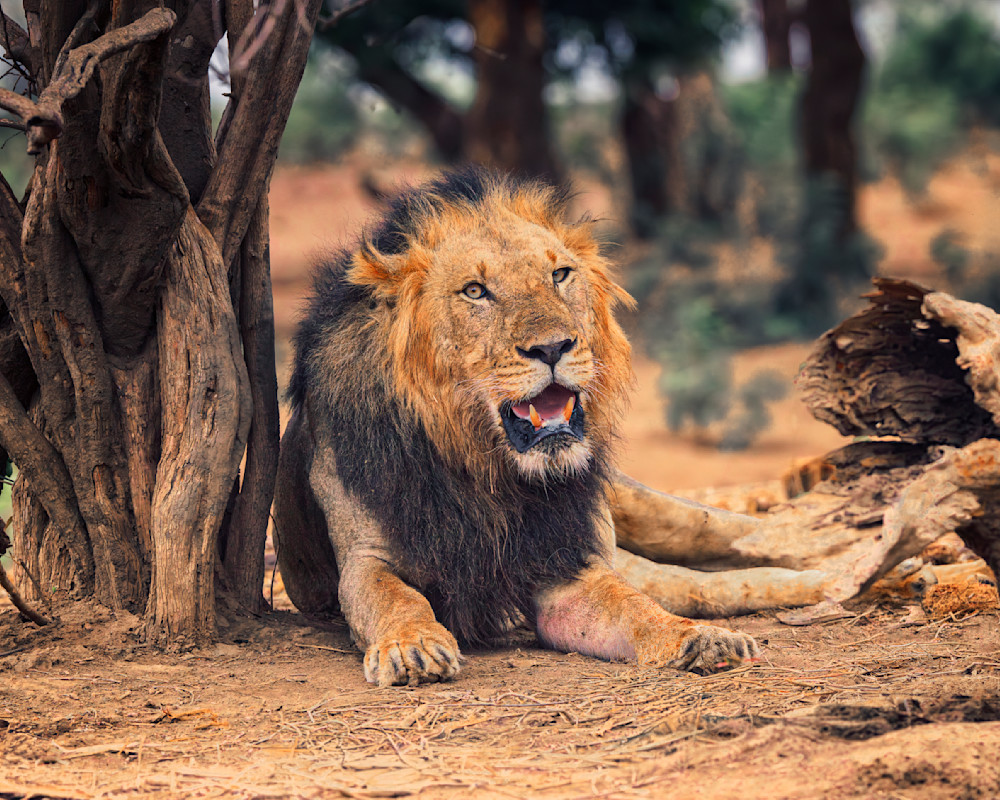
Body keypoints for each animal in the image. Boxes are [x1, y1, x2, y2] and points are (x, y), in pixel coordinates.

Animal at [274, 167, 759, 687]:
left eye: (560, 275)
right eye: (475, 291)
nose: (553, 347)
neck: (488, 471)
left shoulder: (566, 561)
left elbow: (636, 606)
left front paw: (700, 637)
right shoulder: (366, 559)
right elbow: (396, 597)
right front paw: (412, 646)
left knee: (737, 542)